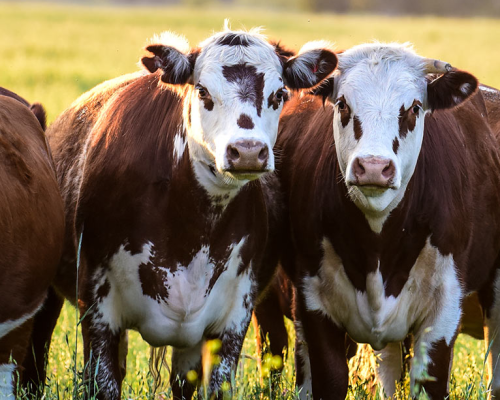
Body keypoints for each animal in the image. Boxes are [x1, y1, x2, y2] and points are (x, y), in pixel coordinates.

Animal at [30, 26, 336, 398]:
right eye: (202, 90)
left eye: (279, 94)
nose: (248, 151)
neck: (192, 229)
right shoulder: (97, 311)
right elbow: (103, 383)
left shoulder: (233, 318)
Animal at [276, 42, 500, 398]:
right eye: (342, 104)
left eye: (414, 108)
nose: (373, 167)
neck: (378, 243)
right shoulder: (314, 305)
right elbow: (331, 379)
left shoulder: (443, 311)